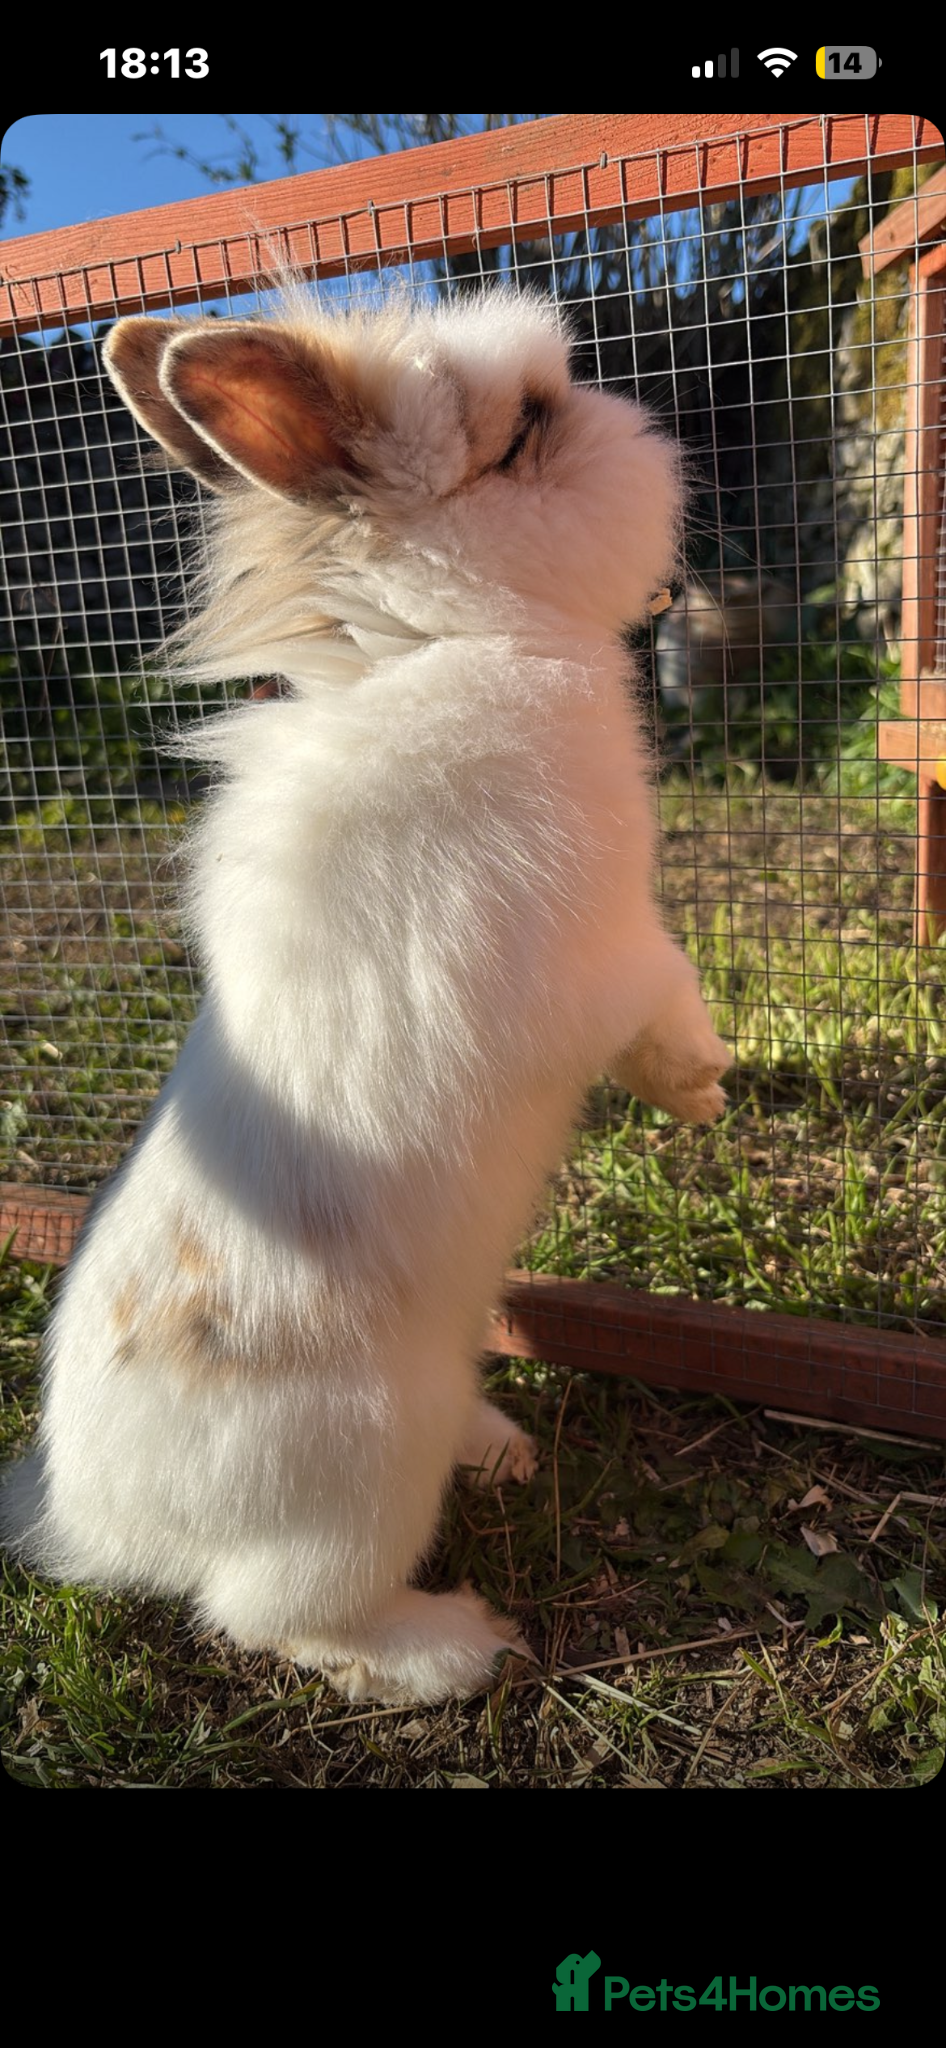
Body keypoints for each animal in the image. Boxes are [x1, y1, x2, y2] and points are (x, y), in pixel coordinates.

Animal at [1, 289, 730, 1705]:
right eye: (523, 432)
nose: (658, 433)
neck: (442, 641)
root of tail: (95, 1522)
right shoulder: (605, 949)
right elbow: (658, 1000)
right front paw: (704, 1088)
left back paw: (500, 1447)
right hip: (356, 1487)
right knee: (277, 1619)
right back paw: (453, 1644)